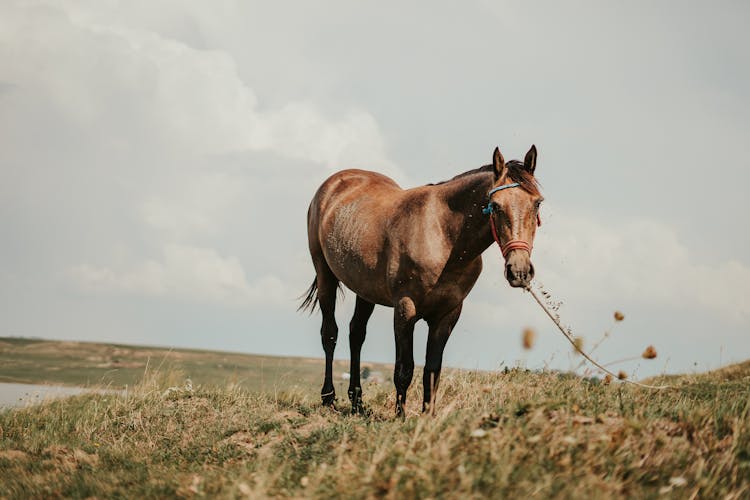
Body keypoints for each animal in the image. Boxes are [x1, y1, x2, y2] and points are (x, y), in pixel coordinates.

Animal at [302, 146, 544, 418]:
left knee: (357, 334)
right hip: (325, 275)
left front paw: (428, 416)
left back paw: (357, 401)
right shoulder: (405, 309)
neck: (443, 236)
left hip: (365, 290)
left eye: (537, 203)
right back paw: (329, 398)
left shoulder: (447, 315)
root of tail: (335, 183)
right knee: (330, 333)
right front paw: (401, 416)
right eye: (495, 205)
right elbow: (404, 368)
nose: (519, 270)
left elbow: (432, 368)